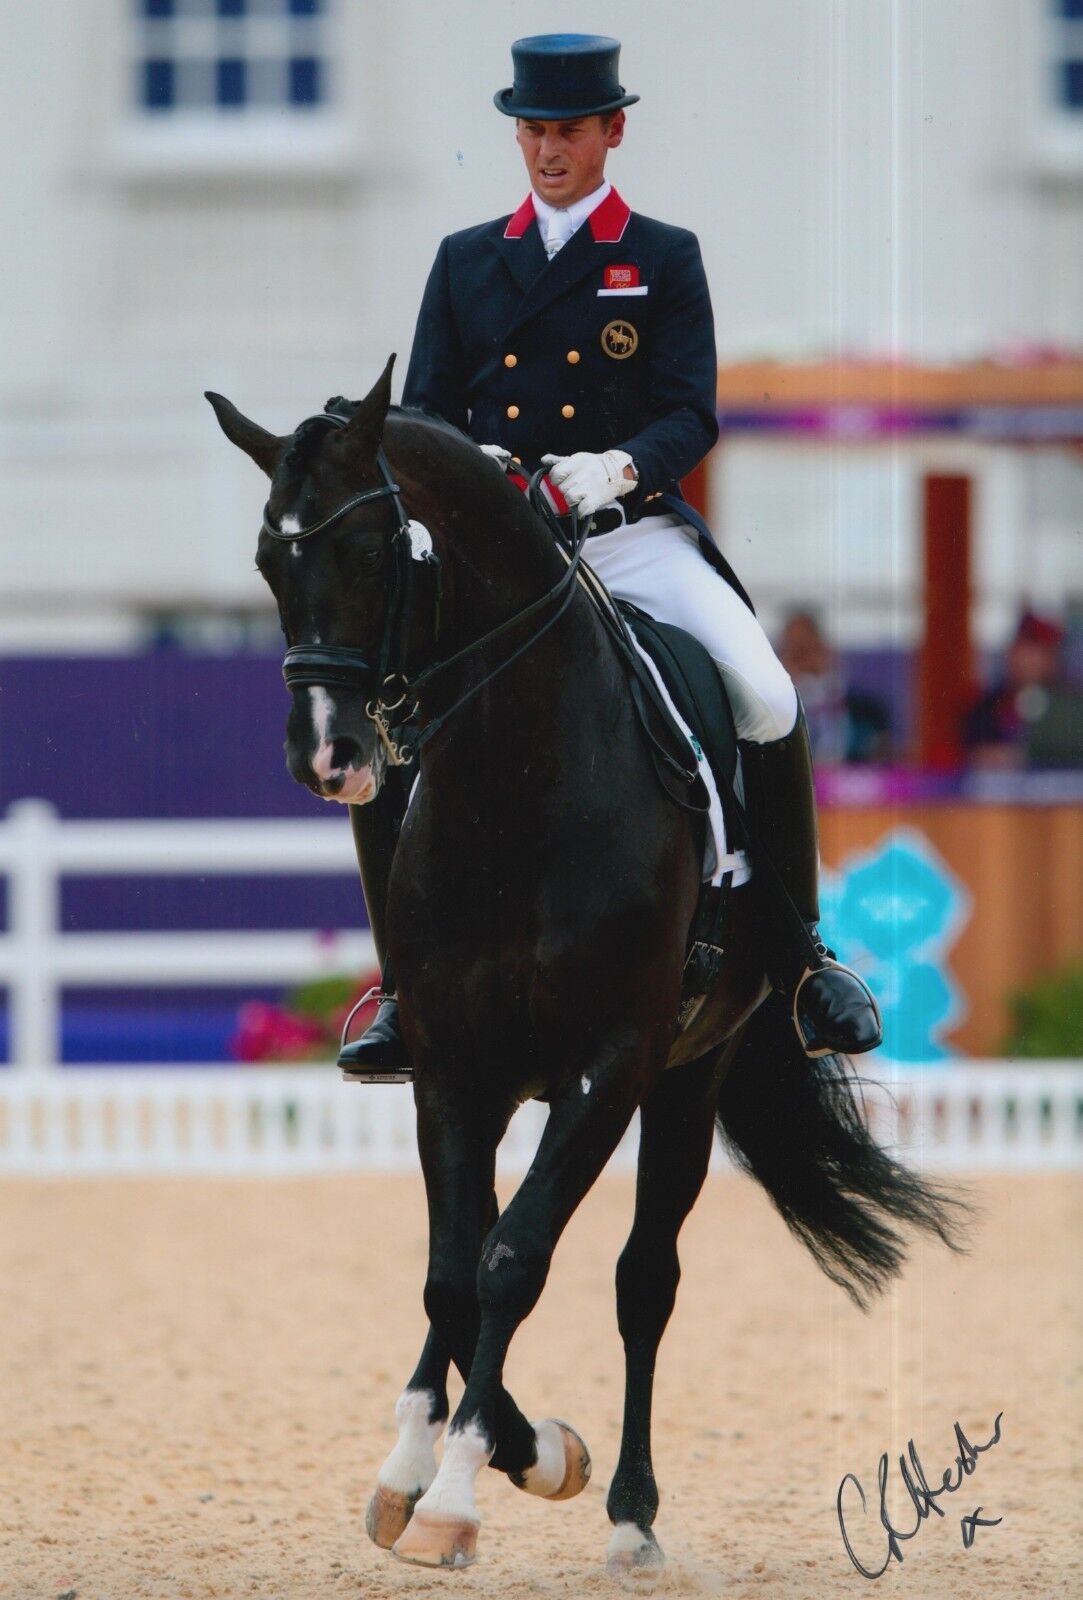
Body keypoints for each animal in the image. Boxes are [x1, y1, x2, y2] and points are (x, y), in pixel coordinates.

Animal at [209, 363, 966, 1574]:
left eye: (373, 550)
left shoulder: (610, 1065)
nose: (328, 754)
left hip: (689, 1076)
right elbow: (454, 1272)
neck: (516, 779)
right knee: (470, 1262)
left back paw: (629, 1512)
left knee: (642, 1279)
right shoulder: (452, 1069)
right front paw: (453, 1462)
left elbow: (514, 1261)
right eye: (268, 562)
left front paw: (476, 1485)